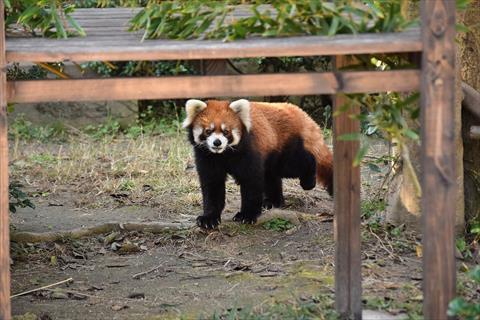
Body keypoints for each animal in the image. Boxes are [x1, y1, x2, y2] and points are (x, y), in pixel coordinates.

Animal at [182, 99, 332, 229]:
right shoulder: (207, 158)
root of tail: (300, 113)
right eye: (208, 131)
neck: (224, 154)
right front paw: (209, 218)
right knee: (272, 176)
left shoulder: (249, 150)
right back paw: (273, 202)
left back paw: (308, 181)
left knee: (300, 162)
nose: (217, 143)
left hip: (284, 147)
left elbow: (251, 183)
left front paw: (246, 215)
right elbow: (212, 186)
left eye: (226, 132)